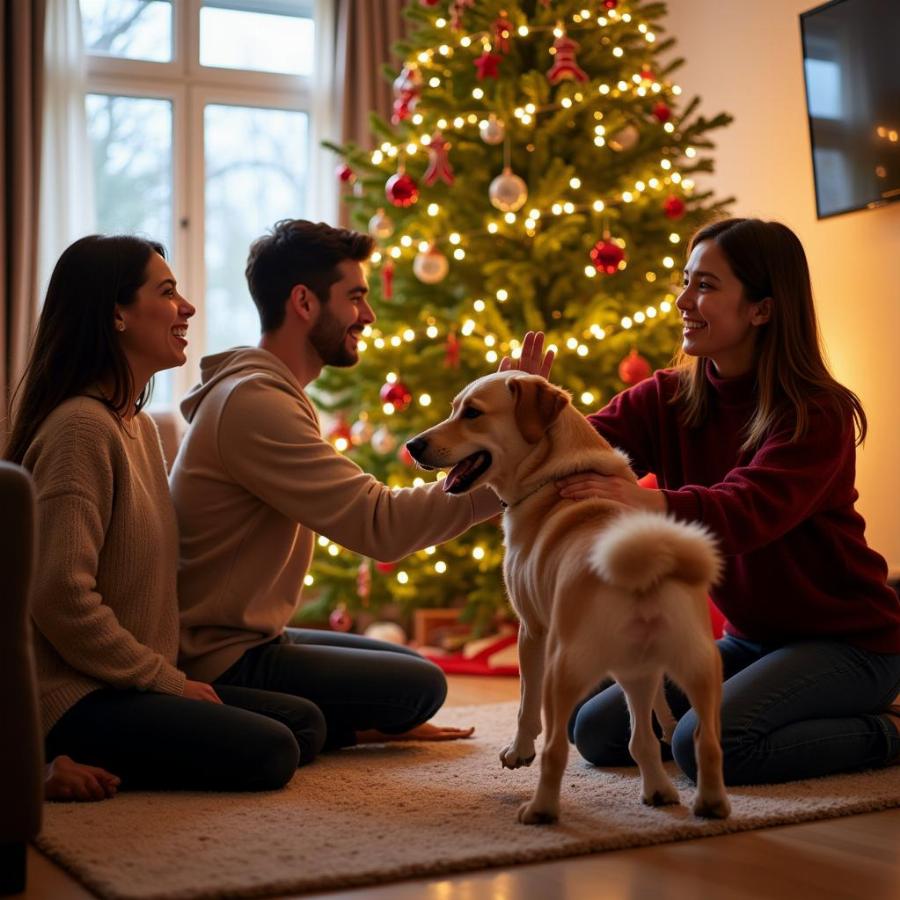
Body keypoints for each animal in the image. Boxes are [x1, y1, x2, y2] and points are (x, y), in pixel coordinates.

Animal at [408, 370, 732, 824]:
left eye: (472, 413)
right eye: (456, 408)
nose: (412, 445)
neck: (550, 477)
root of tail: (643, 571)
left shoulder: (532, 631)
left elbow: (525, 706)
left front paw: (518, 753)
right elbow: (660, 715)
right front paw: (666, 742)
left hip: (565, 669)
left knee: (556, 748)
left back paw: (540, 809)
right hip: (687, 667)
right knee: (695, 740)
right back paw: (687, 797)